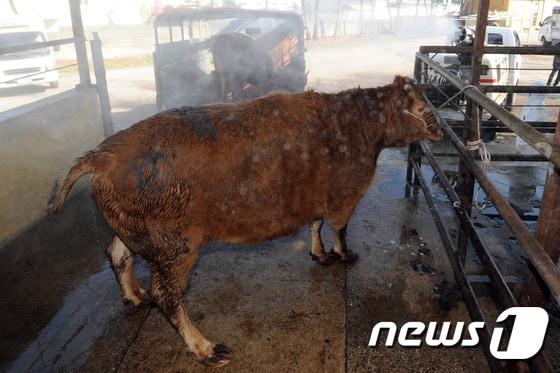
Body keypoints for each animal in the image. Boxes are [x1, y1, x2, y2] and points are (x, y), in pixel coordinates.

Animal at [46, 75, 442, 366]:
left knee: (118, 254)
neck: (357, 125)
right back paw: (205, 348)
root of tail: (101, 155)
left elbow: (316, 225)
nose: (439, 130)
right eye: (422, 106)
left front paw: (319, 254)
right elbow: (340, 230)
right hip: (175, 245)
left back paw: (133, 296)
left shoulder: (317, 198)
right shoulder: (345, 196)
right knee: (166, 294)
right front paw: (345, 255)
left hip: (133, 228)